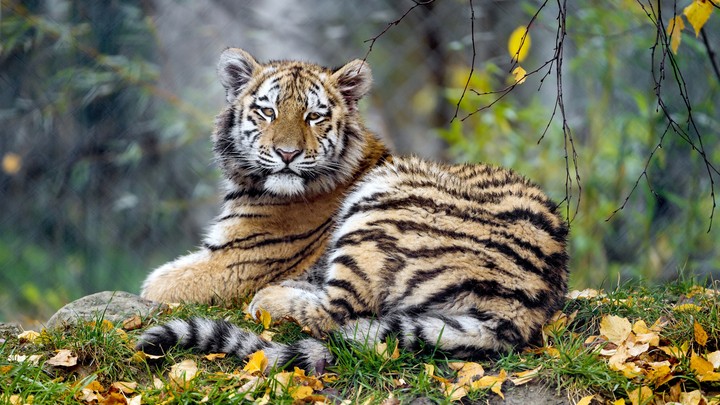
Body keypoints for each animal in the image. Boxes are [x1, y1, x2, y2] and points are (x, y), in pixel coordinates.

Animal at [136, 48, 569, 373]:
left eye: (314, 115)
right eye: (268, 112)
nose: (288, 154)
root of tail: (526, 306)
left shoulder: (236, 261)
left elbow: (156, 284)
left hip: (379, 203)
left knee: (338, 312)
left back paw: (270, 298)